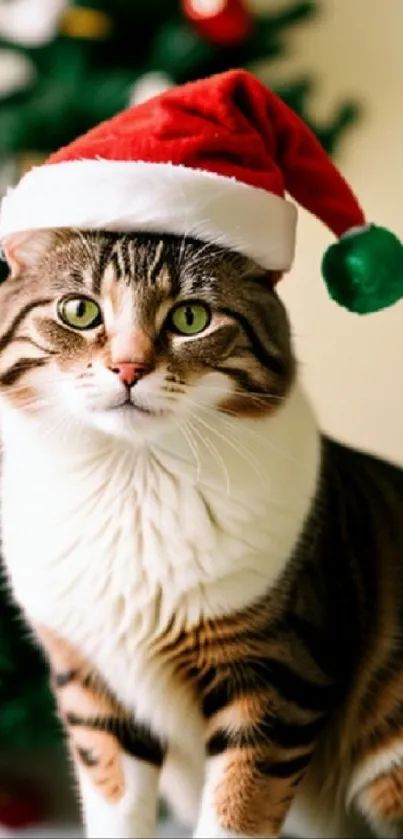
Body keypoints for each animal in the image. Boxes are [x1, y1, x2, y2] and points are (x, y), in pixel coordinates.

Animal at [0, 228, 403, 839]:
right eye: (79, 311)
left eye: (191, 318)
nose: (127, 368)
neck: (132, 480)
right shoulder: (92, 682)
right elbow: (115, 800)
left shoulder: (277, 676)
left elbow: (238, 807)